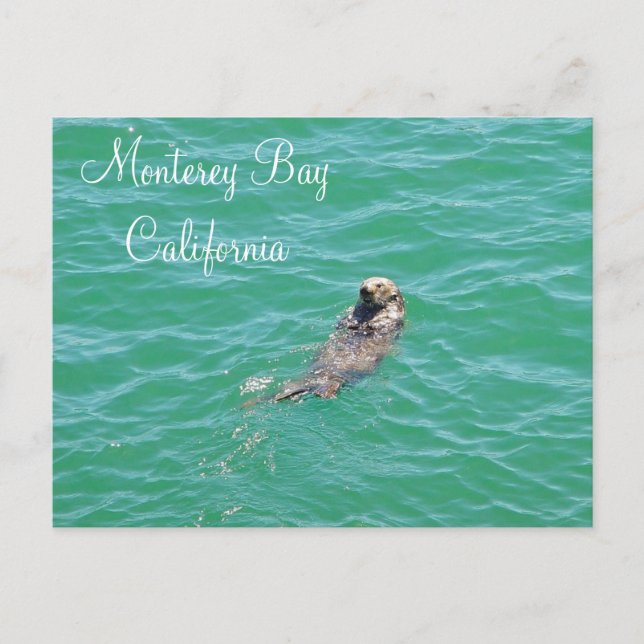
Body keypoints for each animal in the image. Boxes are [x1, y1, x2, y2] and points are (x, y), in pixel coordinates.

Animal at [244, 277, 405, 405]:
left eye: (379, 285)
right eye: (363, 282)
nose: (364, 289)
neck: (369, 313)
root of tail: (313, 384)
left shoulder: (392, 319)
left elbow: (381, 323)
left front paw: (367, 325)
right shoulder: (355, 312)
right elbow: (345, 321)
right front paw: (350, 322)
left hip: (341, 378)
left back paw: (323, 393)